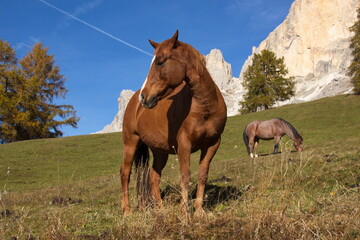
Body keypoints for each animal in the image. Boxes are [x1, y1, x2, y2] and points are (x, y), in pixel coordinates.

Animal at [121, 31, 228, 217]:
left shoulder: (213, 144)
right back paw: (127, 210)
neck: (204, 106)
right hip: (131, 143)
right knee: (125, 173)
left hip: (159, 151)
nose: (144, 97)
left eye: (160, 62)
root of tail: (133, 102)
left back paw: (160, 209)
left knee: (153, 176)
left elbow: (202, 175)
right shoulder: (184, 144)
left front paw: (199, 211)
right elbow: (185, 176)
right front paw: (185, 213)